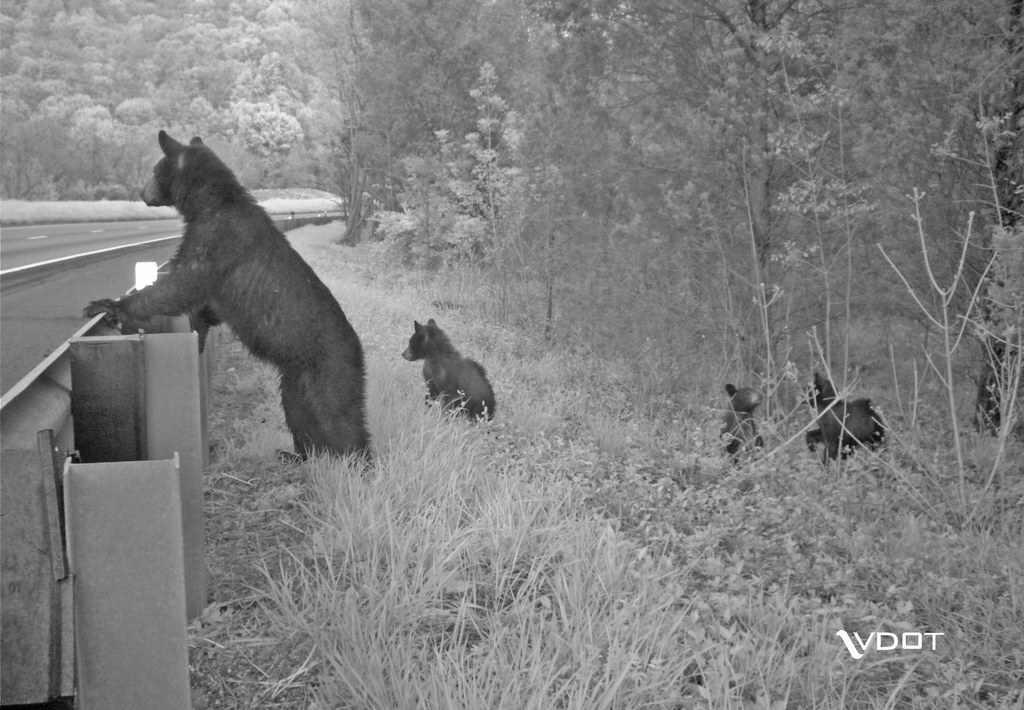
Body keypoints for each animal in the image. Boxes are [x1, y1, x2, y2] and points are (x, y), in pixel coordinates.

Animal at [84, 129, 368, 456]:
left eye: (155, 171)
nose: (143, 193)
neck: (210, 204)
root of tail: (359, 349)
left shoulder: (215, 241)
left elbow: (179, 285)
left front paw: (108, 305)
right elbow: (206, 307)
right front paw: (198, 334)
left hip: (330, 369)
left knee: (338, 418)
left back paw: (357, 459)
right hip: (295, 377)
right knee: (298, 412)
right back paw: (298, 455)